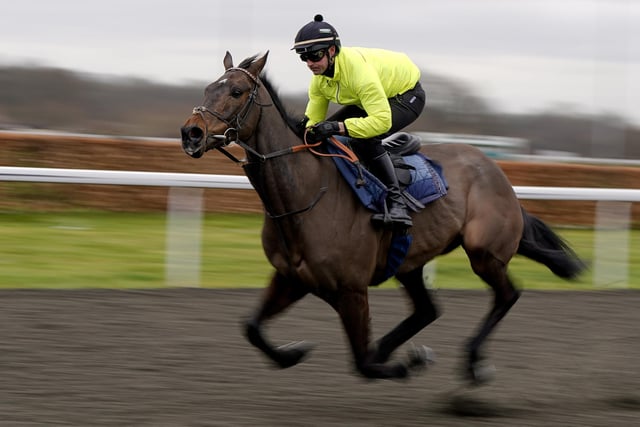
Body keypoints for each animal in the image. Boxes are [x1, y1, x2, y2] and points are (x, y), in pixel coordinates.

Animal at [179, 52, 584, 384]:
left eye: (235, 92)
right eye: (207, 88)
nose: (191, 133)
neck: (306, 196)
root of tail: (496, 171)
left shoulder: (351, 289)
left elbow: (363, 362)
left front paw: (409, 363)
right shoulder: (292, 278)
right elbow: (251, 328)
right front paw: (292, 353)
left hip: (484, 251)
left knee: (507, 295)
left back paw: (473, 363)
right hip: (409, 260)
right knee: (427, 310)